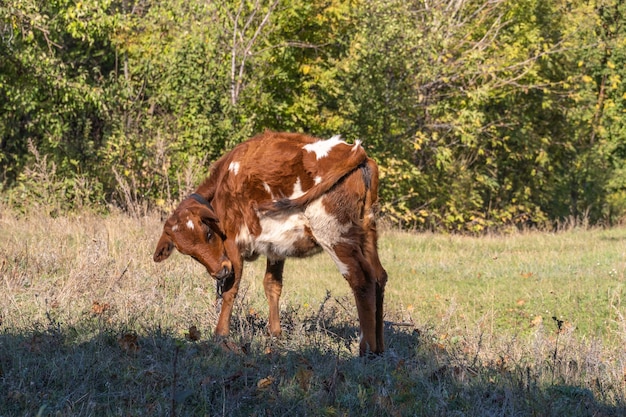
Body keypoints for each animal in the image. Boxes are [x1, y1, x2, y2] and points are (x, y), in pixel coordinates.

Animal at [152, 131, 386, 354]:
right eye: (189, 253)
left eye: (208, 234)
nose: (220, 271)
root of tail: (355, 151)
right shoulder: (276, 247)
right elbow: (272, 285)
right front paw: (275, 334)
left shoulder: (233, 242)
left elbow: (230, 289)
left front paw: (220, 335)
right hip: (367, 230)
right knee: (379, 277)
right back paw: (379, 348)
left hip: (334, 233)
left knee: (361, 279)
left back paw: (365, 350)